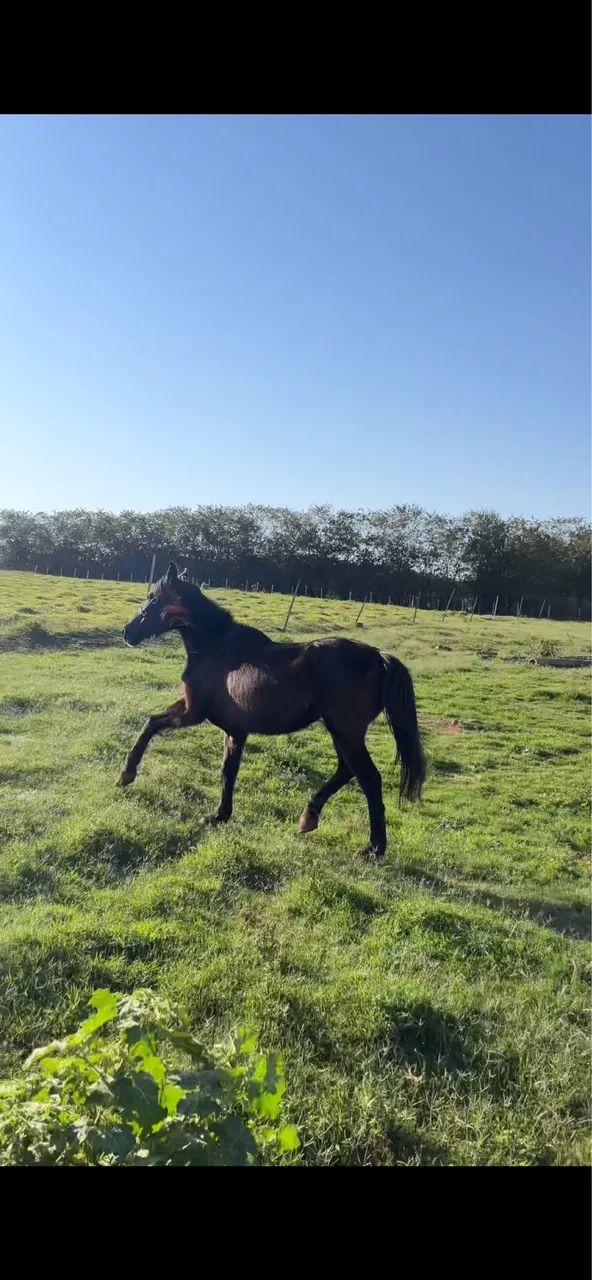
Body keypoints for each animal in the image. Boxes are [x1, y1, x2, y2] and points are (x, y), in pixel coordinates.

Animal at [118, 563, 426, 859]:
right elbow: (227, 771)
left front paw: (126, 775)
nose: (127, 632)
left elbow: (151, 723)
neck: (217, 650)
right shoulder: (232, 729)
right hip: (341, 731)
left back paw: (373, 848)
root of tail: (379, 657)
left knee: (369, 778)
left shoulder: (193, 714)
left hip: (345, 731)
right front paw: (220, 815)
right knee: (346, 770)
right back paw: (308, 819)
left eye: (153, 598)